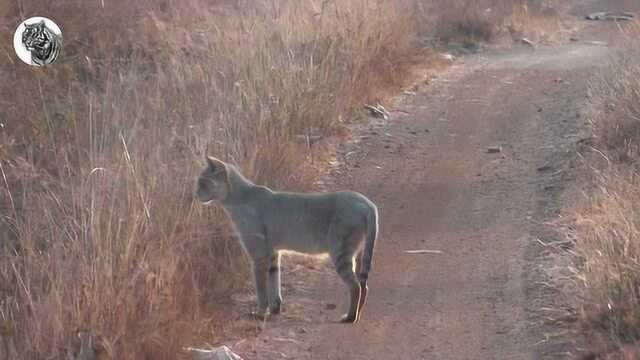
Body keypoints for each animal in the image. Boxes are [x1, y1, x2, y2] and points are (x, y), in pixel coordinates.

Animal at [195, 157, 376, 324]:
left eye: (202, 182)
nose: (195, 194)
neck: (237, 198)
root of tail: (366, 202)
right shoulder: (273, 253)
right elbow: (274, 281)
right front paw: (275, 309)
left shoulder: (259, 255)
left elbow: (261, 288)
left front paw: (260, 313)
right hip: (358, 253)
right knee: (364, 285)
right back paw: (358, 315)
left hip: (341, 251)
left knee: (355, 286)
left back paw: (350, 317)